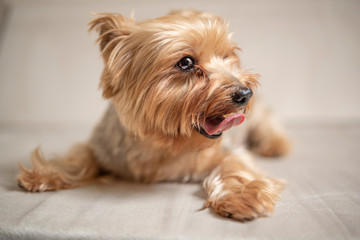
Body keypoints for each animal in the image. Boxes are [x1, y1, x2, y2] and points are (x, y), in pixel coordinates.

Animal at [16, 9, 290, 221]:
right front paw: (44, 173)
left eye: (227, 56)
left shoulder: (229, 151)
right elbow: (80, 157)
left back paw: (276, 144)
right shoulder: (102, 145)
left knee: (268, 125)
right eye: (186, 63)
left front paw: (243, 197)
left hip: (260, 115)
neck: (164, 144)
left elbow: (234, 167)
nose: (245, 94)